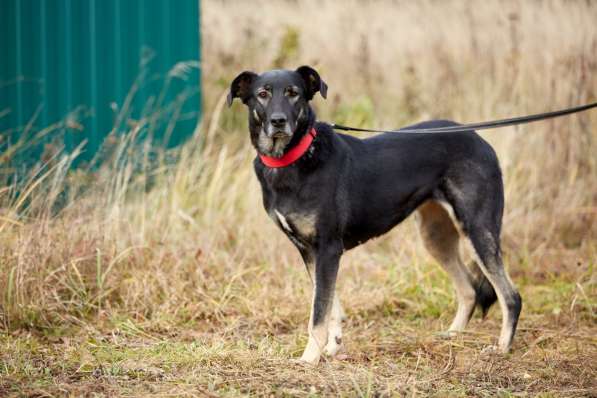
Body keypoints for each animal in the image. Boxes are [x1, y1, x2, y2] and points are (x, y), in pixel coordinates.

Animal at [226, 65, 520, 364]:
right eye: (262, 94)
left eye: (293, 93)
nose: (278, 121)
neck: (295, 157)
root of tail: (480, 140)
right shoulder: (309, 251)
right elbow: (330, 306)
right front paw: (332, 347)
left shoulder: (328, 248)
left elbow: (318, 313)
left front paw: (309, 359)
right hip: (436, 236)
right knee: (469, 289)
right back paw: (452, 335)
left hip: (477, 228)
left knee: (511, 295)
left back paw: (502, 347)